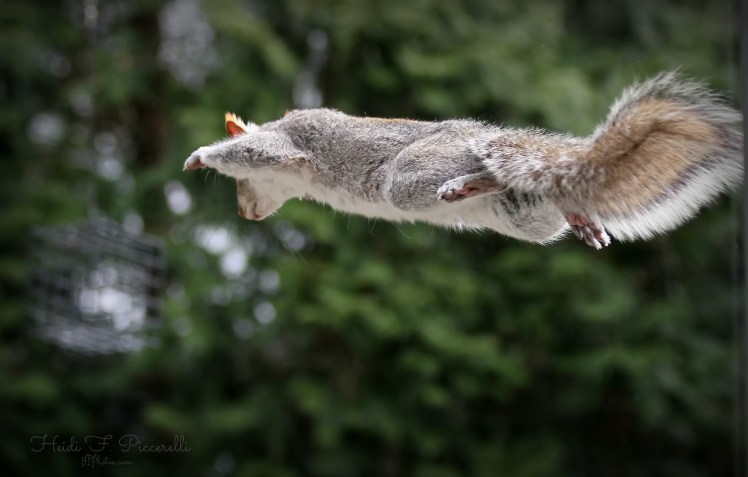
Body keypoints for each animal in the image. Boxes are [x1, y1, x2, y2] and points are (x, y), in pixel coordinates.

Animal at [183, 72, 743, 249]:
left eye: (241, 184)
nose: (246, 214)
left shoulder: (289, 141)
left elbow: (249, 149)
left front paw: (201, 156)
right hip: (528, 216)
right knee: (535, 196)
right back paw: (577, 215)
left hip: (410, 175)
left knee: (485, 174)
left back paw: (468, 185)